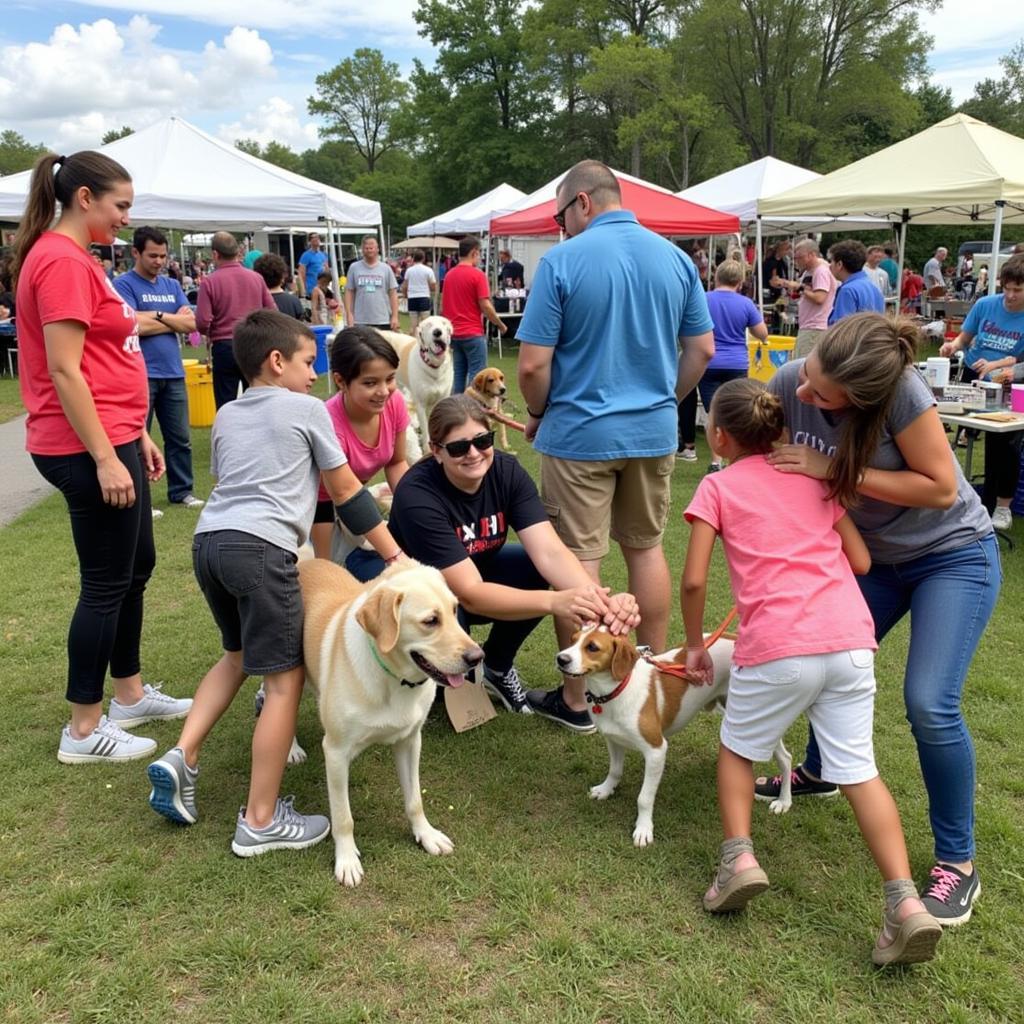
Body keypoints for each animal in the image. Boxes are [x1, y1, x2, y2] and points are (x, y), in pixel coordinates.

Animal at [299, 557, 483, 884]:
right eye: (430, 621)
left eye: (454, 610)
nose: (478, 657)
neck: (395, 681)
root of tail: (308, 559)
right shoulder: (335, 752)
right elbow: (343, 817)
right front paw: (346, 860)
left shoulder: (410, 742)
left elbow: (415, 800)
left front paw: (426, 835)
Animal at [561, 622, 790, 847]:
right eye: (572, 640)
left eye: (592, 647)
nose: (561, 658)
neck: (617, 690)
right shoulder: (614, 739)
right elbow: (615, 771)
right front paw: (606, 789)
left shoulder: (656, 750)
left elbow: (644, 798)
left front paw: (643, 828)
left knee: (785, 758)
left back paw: (784, 801)